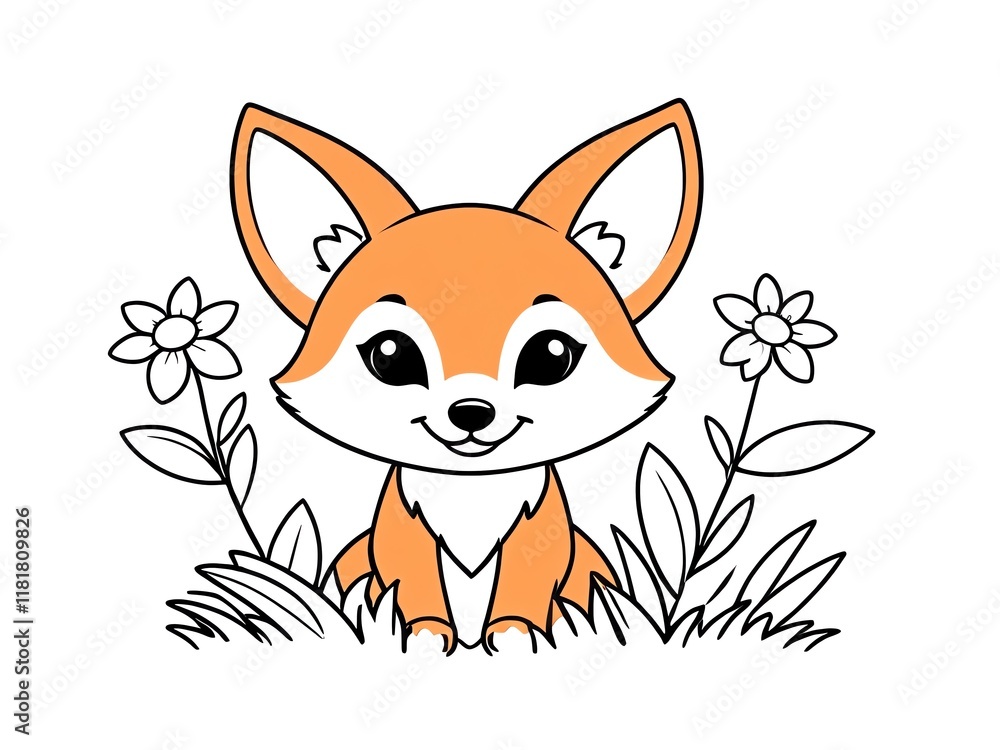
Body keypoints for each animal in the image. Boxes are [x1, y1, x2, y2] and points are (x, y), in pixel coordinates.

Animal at [229, 99, 702, 652]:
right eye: (390, 355)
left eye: (552, 355)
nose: (471, 412)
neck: (472, 495)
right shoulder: (400, 533)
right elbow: (409, 580)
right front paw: (422, 632)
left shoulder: (540, 533)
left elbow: (528, 578)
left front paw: (516, 631)